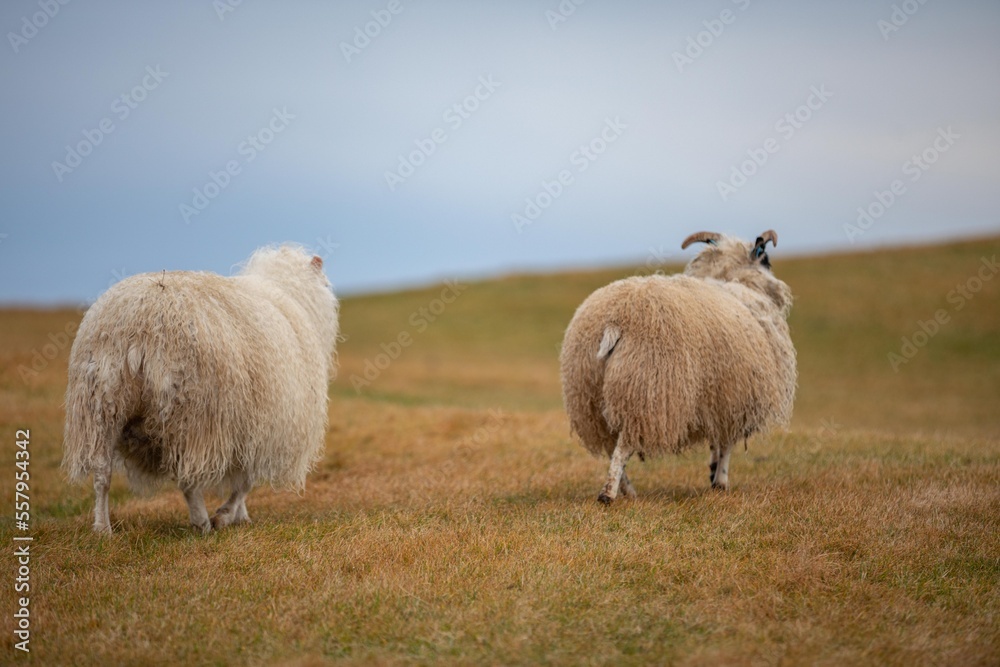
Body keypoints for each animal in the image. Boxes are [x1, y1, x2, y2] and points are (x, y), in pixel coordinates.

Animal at [63, 245, 339, 534]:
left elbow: (242, 478)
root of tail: (141, 323)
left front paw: (240, 516)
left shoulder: (246, 428)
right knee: (188, 480)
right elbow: (246, 481)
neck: (286, 292)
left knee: (101, 474)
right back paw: (202, 522)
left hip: (101, 408)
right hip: (192, 416)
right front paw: (227, 515)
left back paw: (102, 528)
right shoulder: (264, 428)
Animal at [559, 230, 796, 503]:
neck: (737, 282)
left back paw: (627, 491)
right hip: (643, 391)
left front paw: (713, 473)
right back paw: (609, 494)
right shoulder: (735, 398)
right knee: (623, 448)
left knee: (610, 447)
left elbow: (717, 443)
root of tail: (615, 321)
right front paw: (721, 482)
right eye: (766, 259)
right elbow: (726, 444)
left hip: (590, 397)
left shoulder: (716, 398)